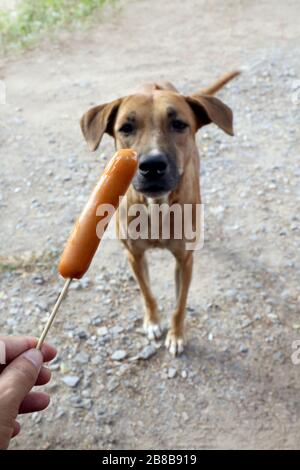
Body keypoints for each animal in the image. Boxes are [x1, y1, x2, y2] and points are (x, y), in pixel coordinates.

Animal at [79, 70, 239, 354]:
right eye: (126, 128)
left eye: (179, 124)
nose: (152, 165)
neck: (156, 207)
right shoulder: (134, 255)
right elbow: (147, 292)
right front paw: (153, 322)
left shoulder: (184, 260)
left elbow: (179, 304)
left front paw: (176, 335)